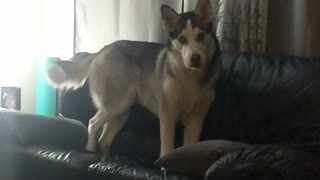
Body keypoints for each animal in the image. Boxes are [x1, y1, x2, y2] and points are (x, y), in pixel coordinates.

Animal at [47, 0, 220, 158]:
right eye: (182, 39)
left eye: (201, 36)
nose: (195, 58)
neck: (191, 77)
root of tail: (102, 50)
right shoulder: (168, 116)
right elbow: (167, 149)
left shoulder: (196, 120)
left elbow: (188, 148)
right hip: (118, 103)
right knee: (92, 124)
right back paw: (90, 150)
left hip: (122, 110)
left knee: (104, 138)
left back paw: (105, 159)